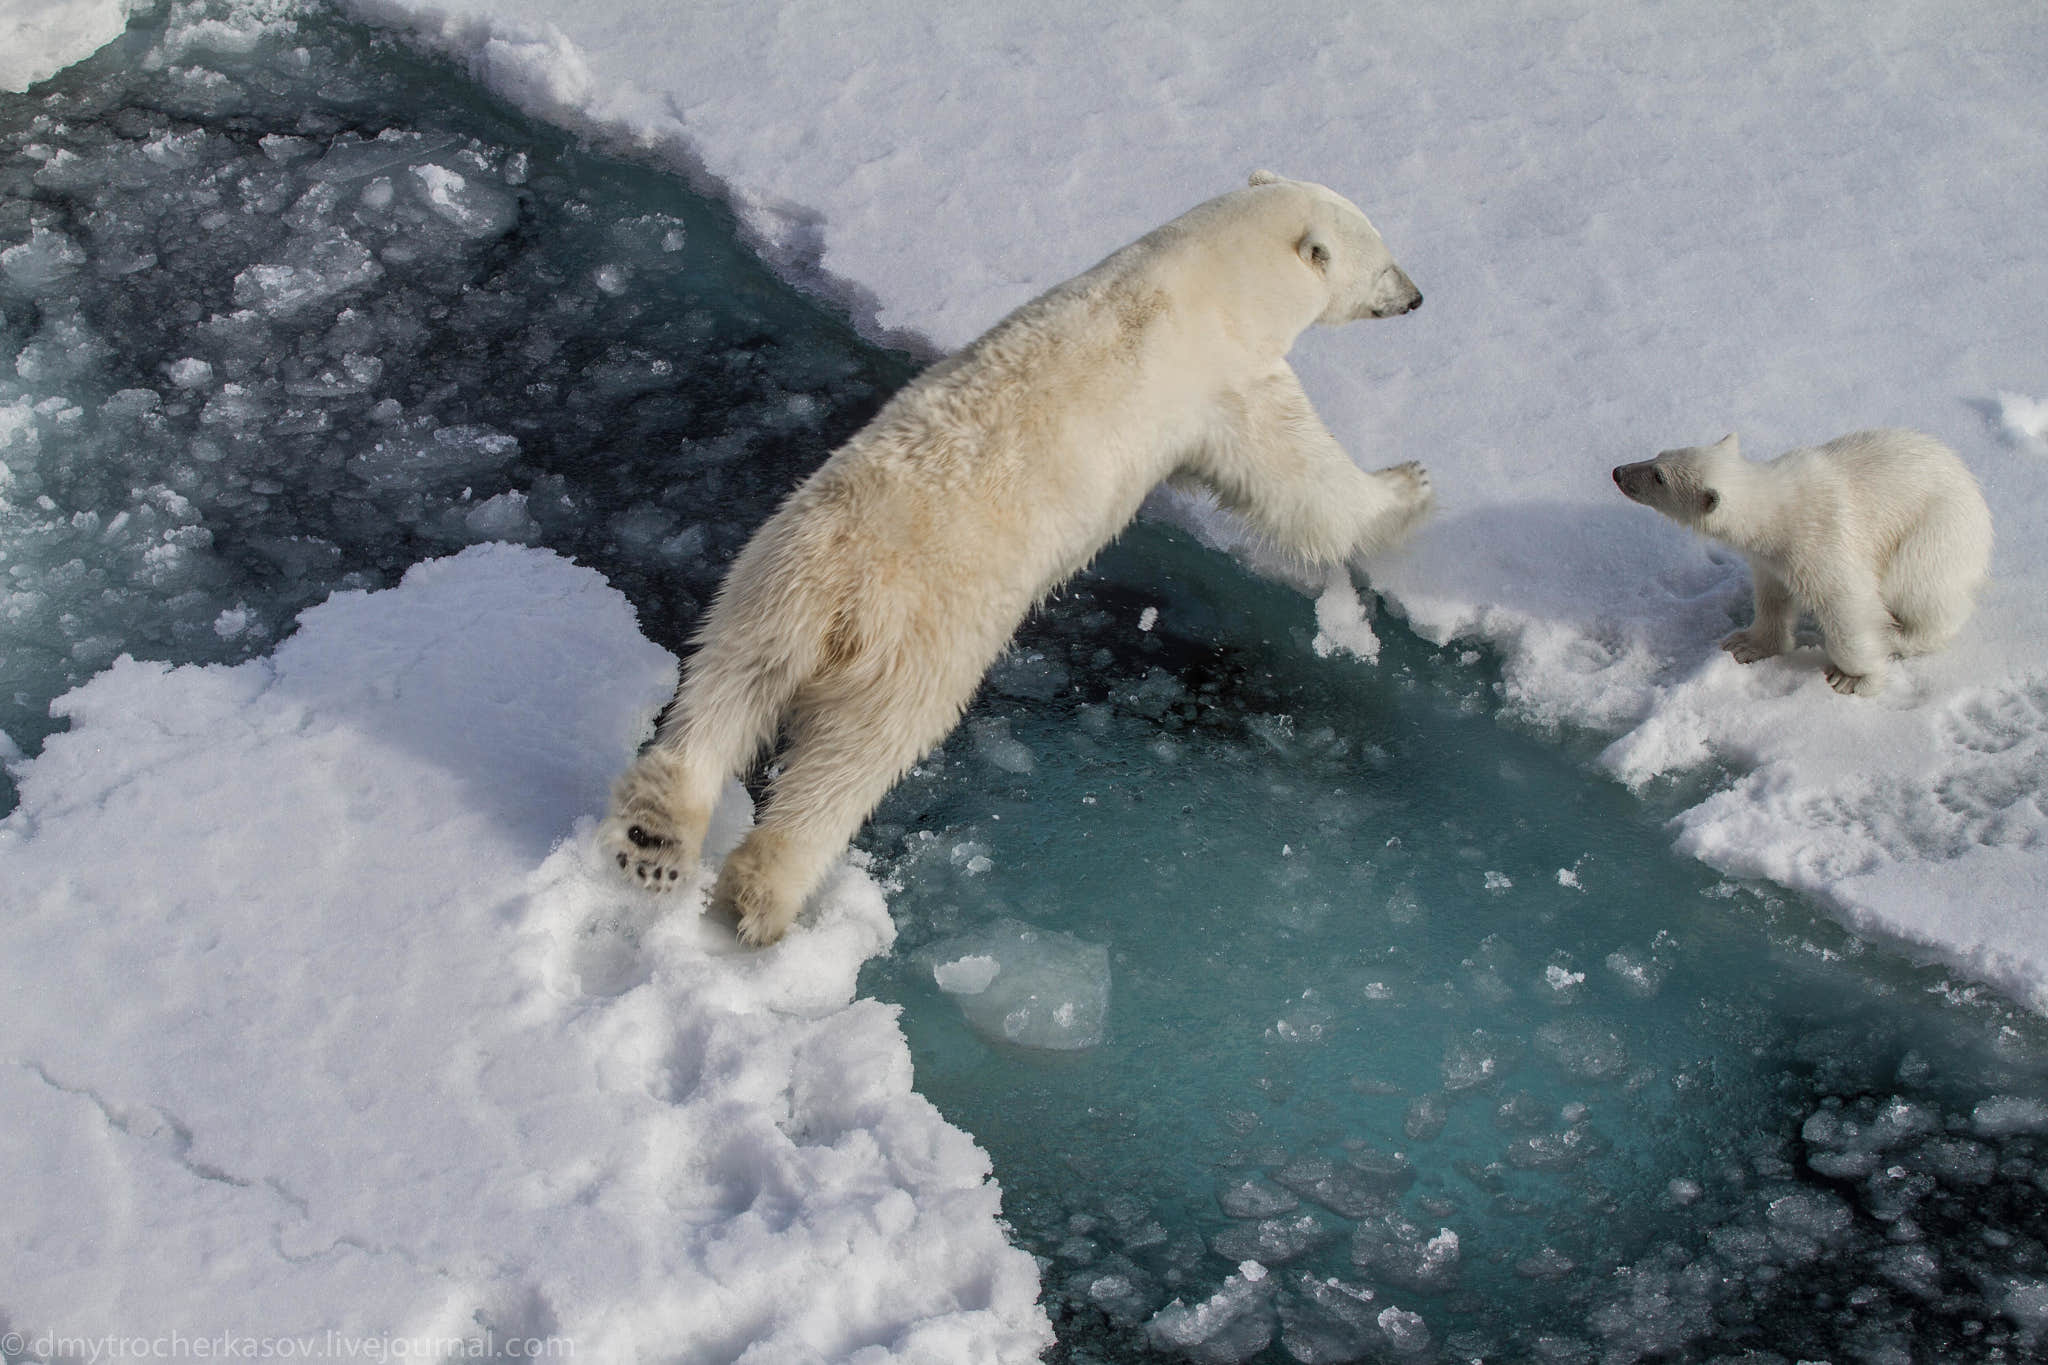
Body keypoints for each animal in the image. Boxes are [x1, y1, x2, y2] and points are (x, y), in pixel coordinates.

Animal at [606, 170, 1433, 945]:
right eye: (1382, 256)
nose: (1418, 296)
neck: (1206, 268)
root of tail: (844, 591)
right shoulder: (1227, 379)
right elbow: (1300, 478)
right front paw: (1409, 489)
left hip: (769, 580)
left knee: (724, 688)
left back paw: (655, 835)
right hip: (916, 641)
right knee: (856, 752)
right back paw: (765, 892)